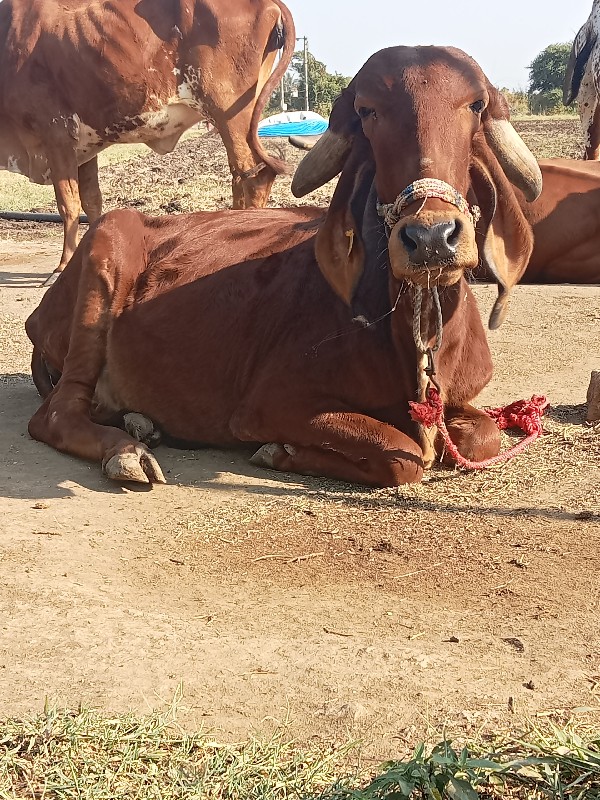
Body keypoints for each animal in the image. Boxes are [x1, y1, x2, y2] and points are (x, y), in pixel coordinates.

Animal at [0, 0, 296, 282]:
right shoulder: (84, 146)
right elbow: (91, 201)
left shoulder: (56, 133)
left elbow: (68, 206)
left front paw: (61, 268)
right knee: (239, 177)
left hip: (229, 112)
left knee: (253, 176)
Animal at [24, 50, 544, 490]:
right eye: (368, 111)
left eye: (475, 105)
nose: (432, 237)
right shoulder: (269, 403)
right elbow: (404, 454)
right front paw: (281, 451)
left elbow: (484, 435)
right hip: (108, 242)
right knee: (54, 415)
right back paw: (127, 451)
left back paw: (140, 422)